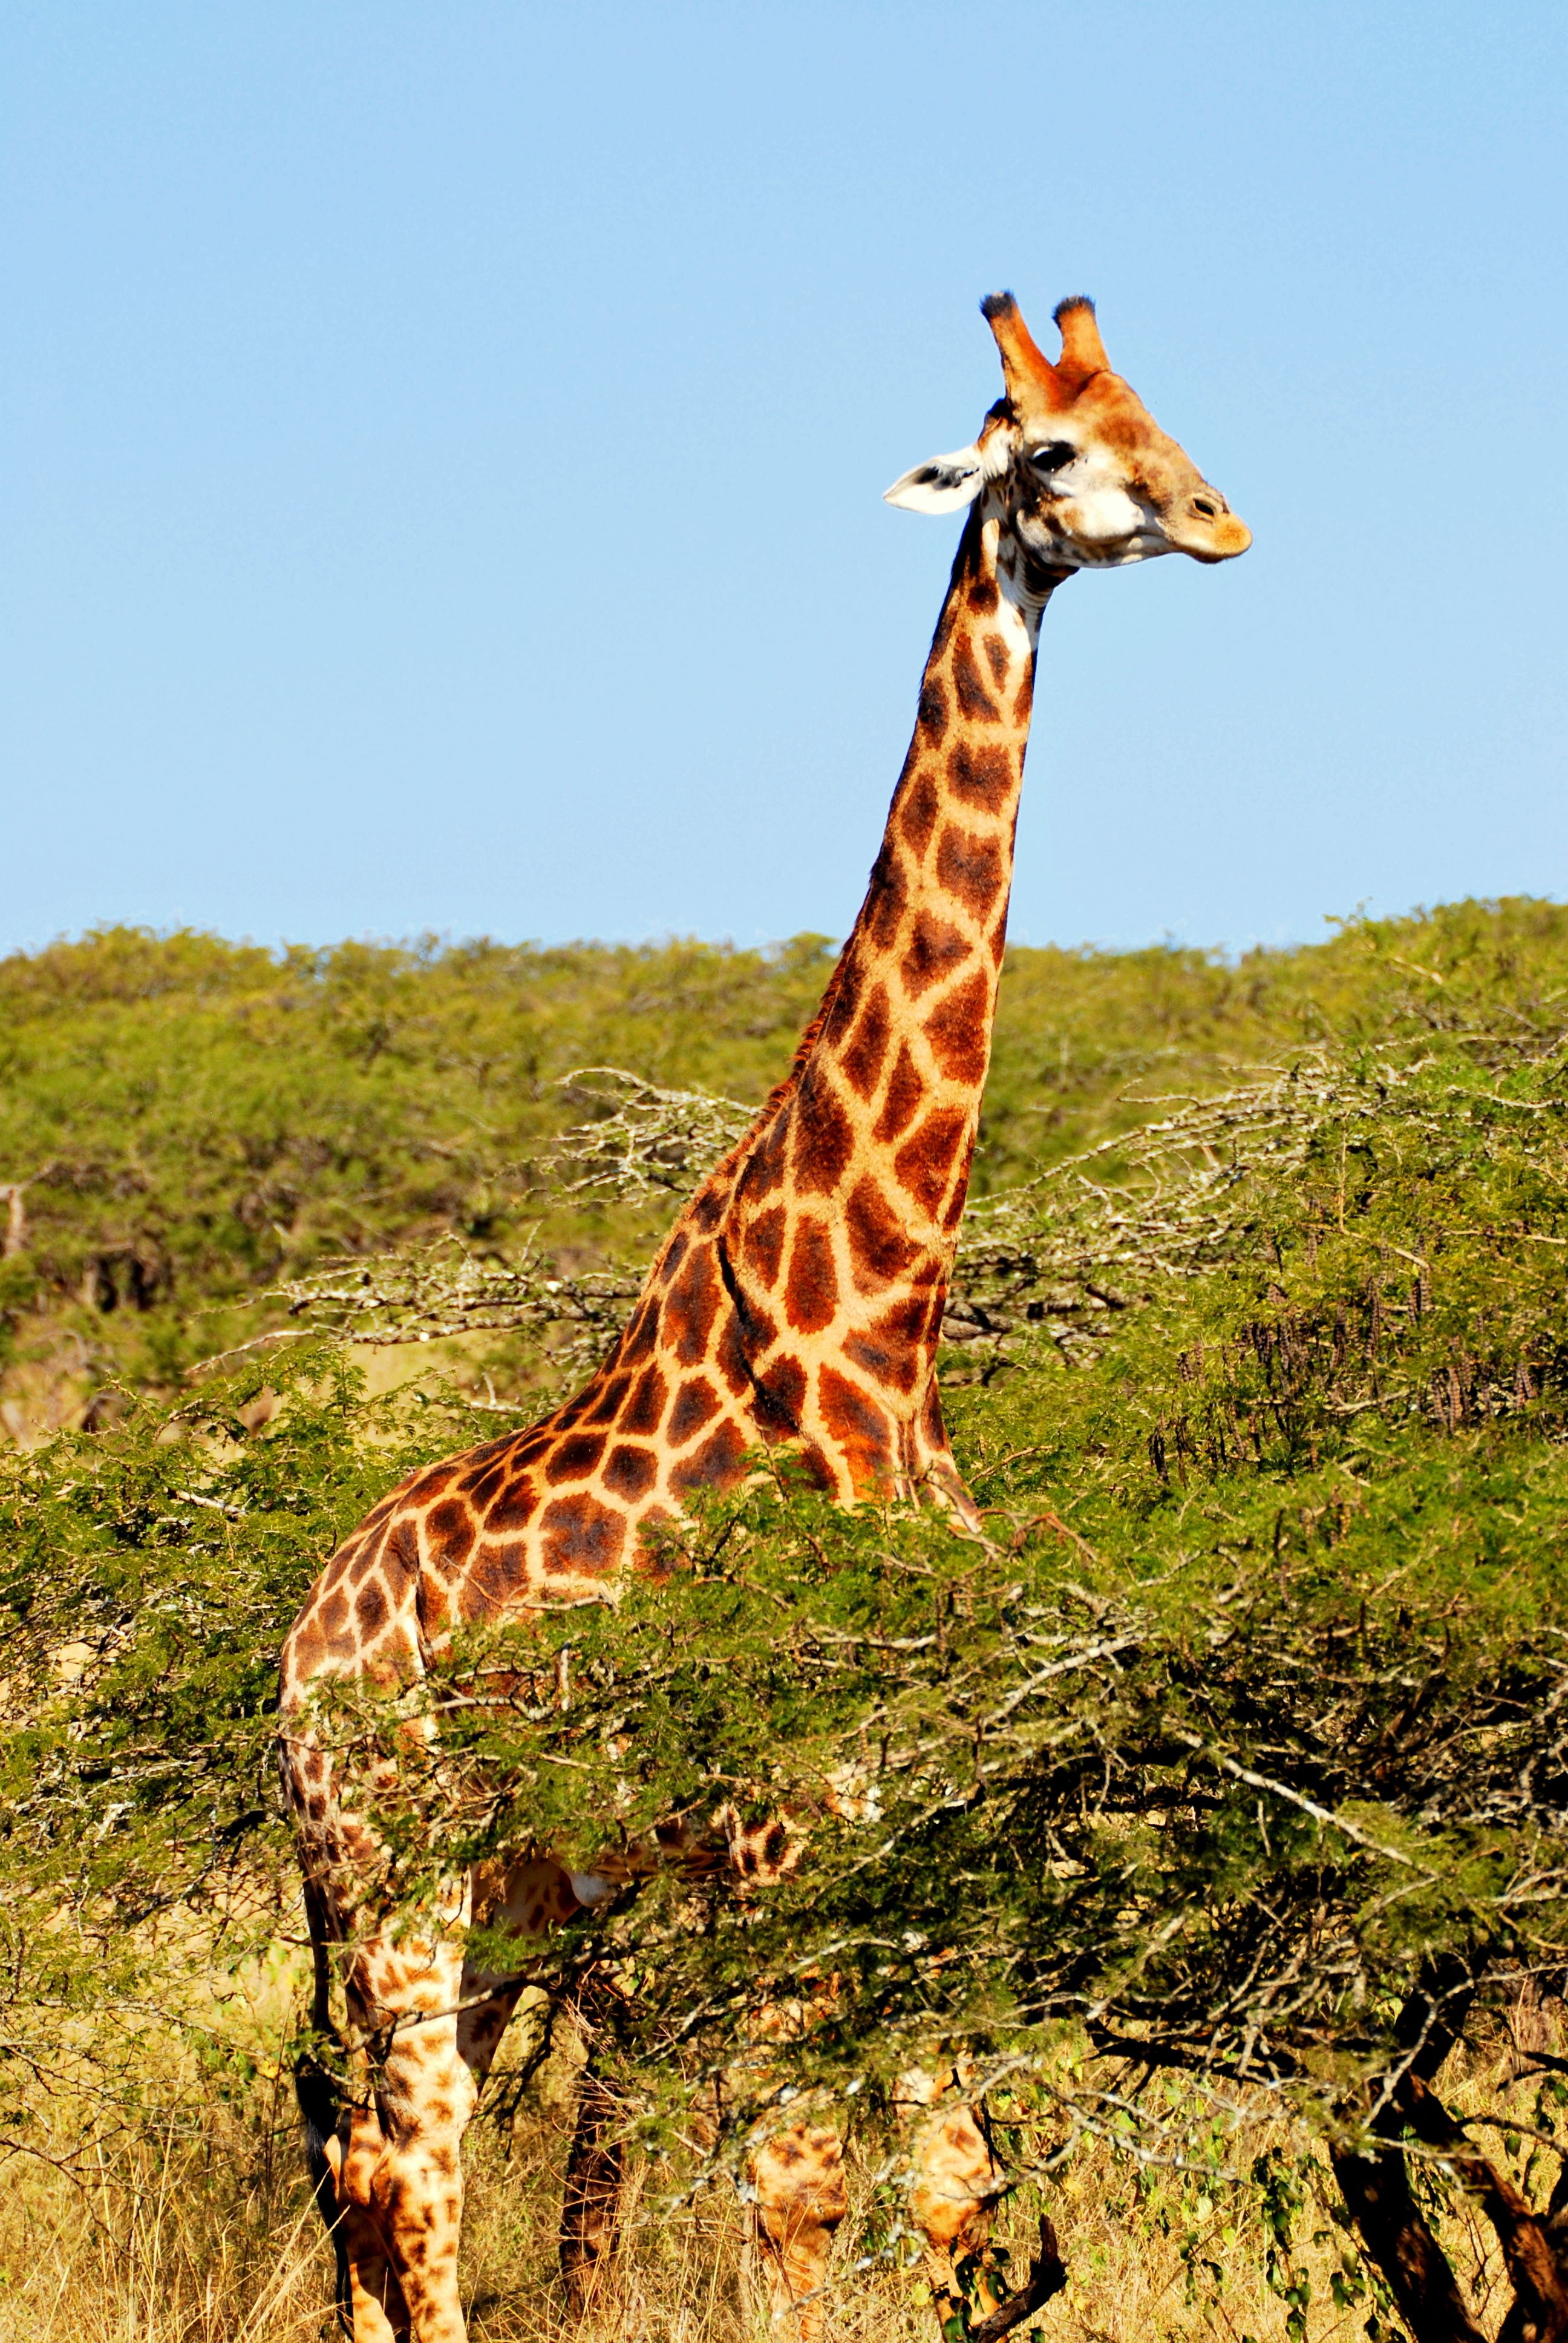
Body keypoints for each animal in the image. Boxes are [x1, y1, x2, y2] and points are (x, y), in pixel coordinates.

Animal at [278, 290, 1249, 2343]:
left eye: (1162, 407)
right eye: (1051, 446)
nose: (1220, 521)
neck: (877, 1318)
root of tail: (294, 1655)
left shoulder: (918, 1825)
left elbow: (949, 2184)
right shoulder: (778, 1833)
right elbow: (795, 2192)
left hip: (500, 1886)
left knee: (374, 2153)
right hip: (382, 1865)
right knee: (414, 2164)